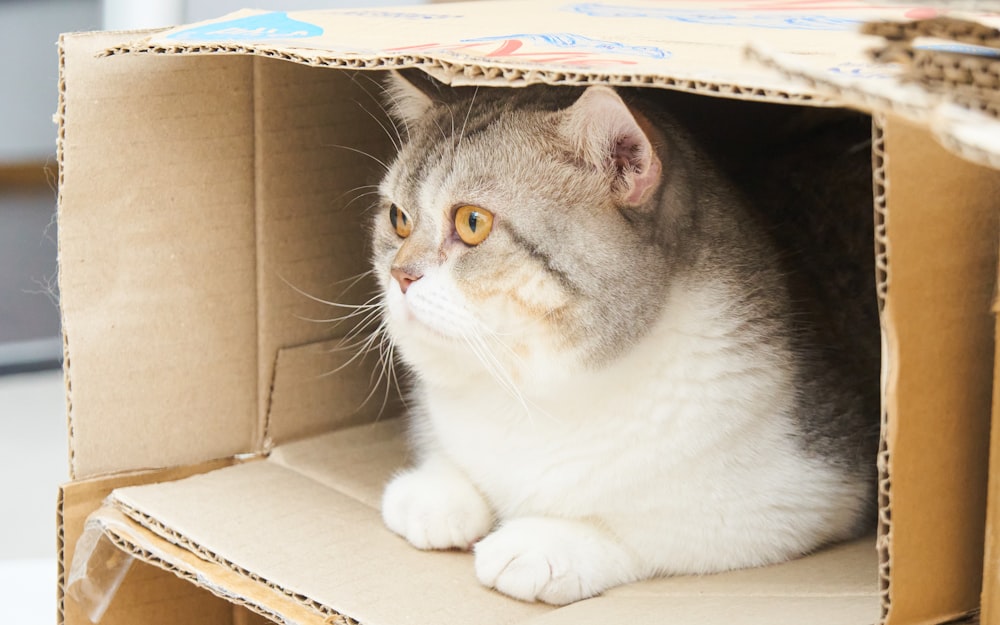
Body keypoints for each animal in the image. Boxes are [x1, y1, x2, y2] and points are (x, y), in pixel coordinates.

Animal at [368, 69, 876, 604]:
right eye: (398, 219)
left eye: (472, 222)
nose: (399, 275)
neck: (530, 388)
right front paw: (435, 490)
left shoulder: (815, 488)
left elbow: (657, 529)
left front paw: (549, 542)